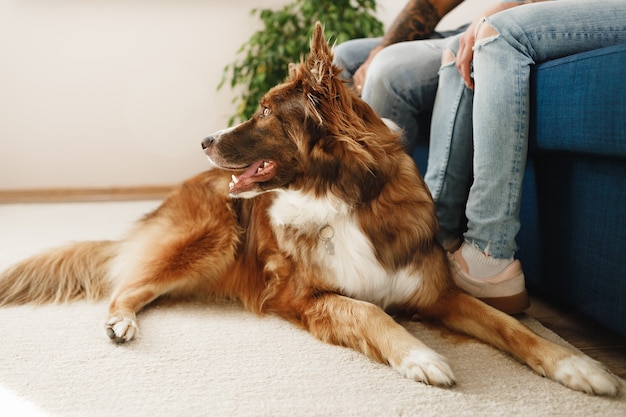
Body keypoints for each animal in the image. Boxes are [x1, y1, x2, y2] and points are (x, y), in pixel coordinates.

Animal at [1, 23, 620, 396]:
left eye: (265, 111)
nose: (204, 139)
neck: (342, 199)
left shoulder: (436, 292)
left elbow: (510, 326)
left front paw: (580, 366)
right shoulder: (305, 297)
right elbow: (369, 312)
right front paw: (420, 357)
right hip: (213, 239)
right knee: (127, 286)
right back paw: (121, 322)